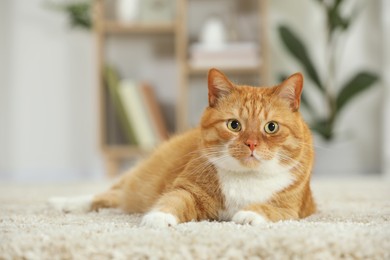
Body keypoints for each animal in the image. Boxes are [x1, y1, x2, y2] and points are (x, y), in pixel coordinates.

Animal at [63, 68, 316, 228]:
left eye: (271, 127)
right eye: (234, 125)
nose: (252, 143)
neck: (246, 178)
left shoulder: (293, 208)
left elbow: (272, 209)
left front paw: (250, 214)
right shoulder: (187, 189)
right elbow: (173, 200)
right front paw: (158, 217)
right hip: (136, 183)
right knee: (106, 194)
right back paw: (64, 203)